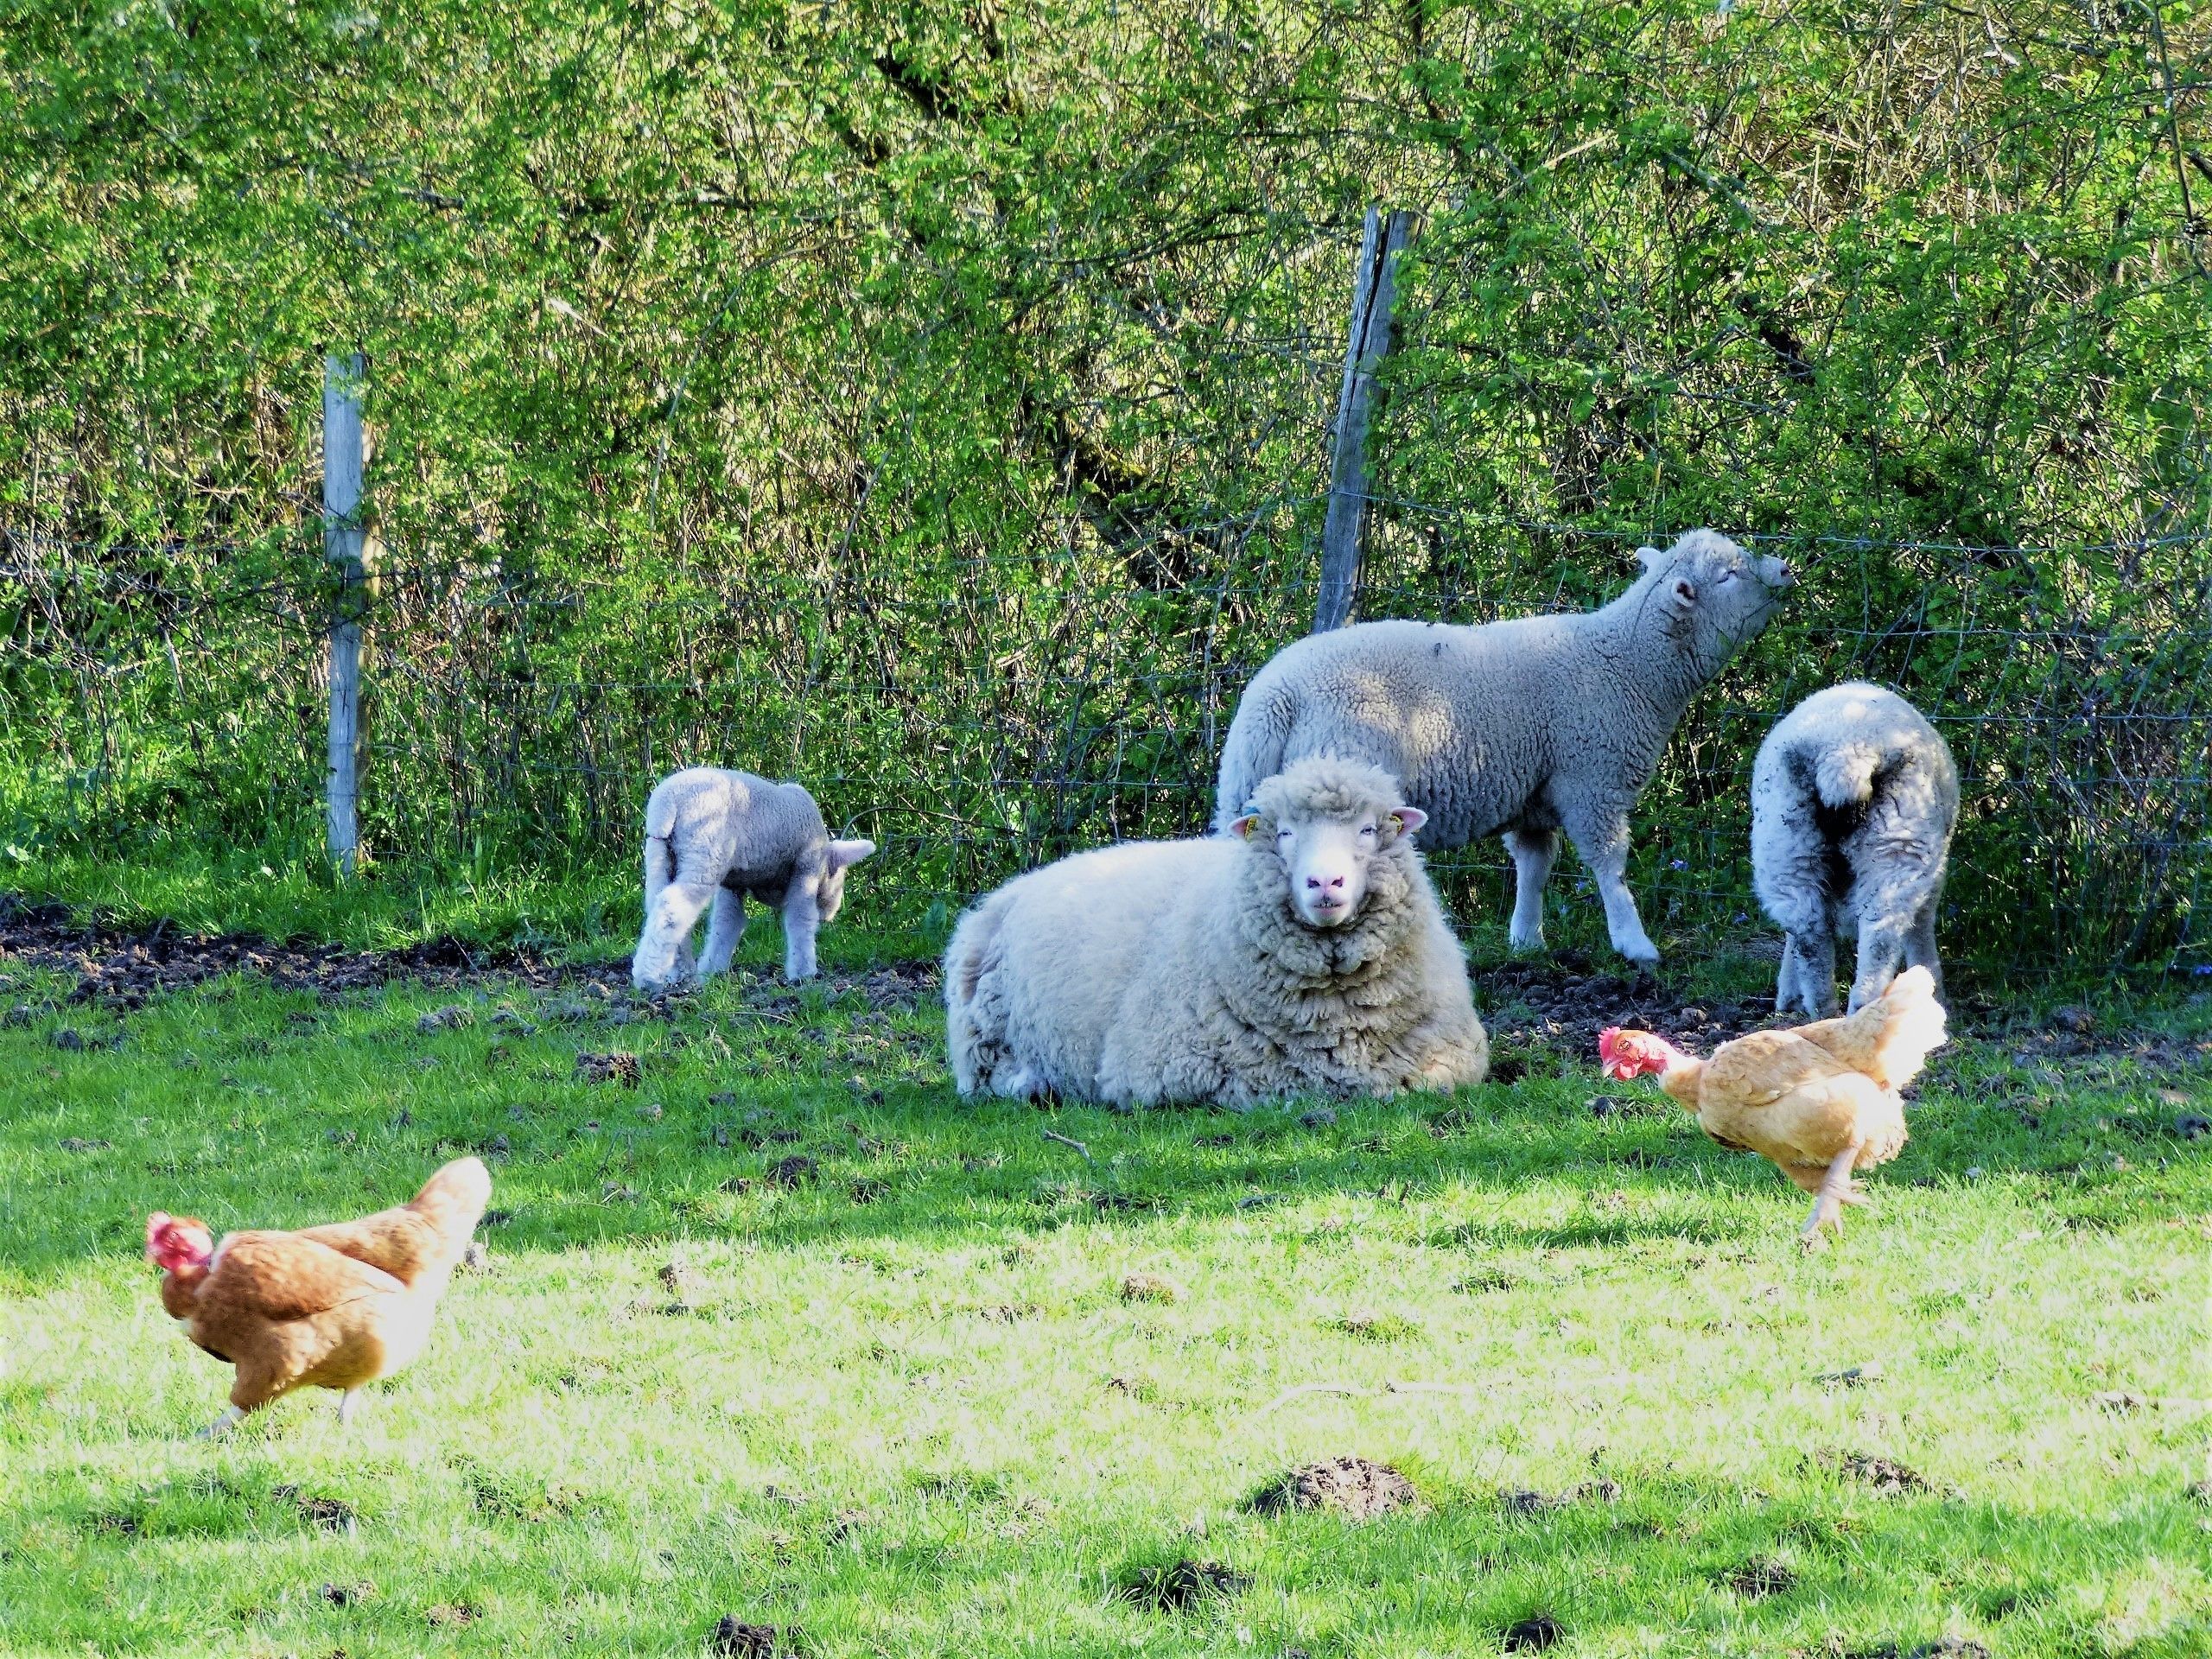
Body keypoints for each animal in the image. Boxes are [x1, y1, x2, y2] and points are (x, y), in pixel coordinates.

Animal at [630, 768, 875, 990]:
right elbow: (800, 919)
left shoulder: (732, 882)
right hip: (704, 852)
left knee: (658, 904)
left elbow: (728, 922)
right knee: (672, 906)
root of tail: (668, 801)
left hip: (661, 853)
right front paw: (803, 973)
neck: (823, 858)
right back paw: (648, 978)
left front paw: (712, 971)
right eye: (841, 879)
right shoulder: (805, 867)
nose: (830, 916)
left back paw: (681, 972)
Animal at [944, 756, 1489, 1109]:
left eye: (1368, 830)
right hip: (987, 1034)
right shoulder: (1169, 1069)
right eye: (1285, 832)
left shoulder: (1450, 1062)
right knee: (989, 1076)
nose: (1324, 882)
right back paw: (1032, 1085)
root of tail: (1004, 896)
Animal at [1213, 529, 1792, 966]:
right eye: (1729, 576)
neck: (1628, 663)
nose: (1785, 570)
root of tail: (1274, 700)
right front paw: (1635, 944)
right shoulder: (1592, 779)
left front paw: (1527, 940)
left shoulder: (1535, 795)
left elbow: (1535, 866)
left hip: (1244, 798)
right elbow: (1610, 864)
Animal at [1751, 681, 1958, 1017]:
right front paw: (1933, 988)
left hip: (1787, 842)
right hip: (1897, 842)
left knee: (1808, 933)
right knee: (1881, 933)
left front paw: (1788, 996)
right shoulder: (1934, 869)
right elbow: (1922, 925)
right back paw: (1865, 1005)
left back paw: (1821, 1008)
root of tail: (1843, 753)